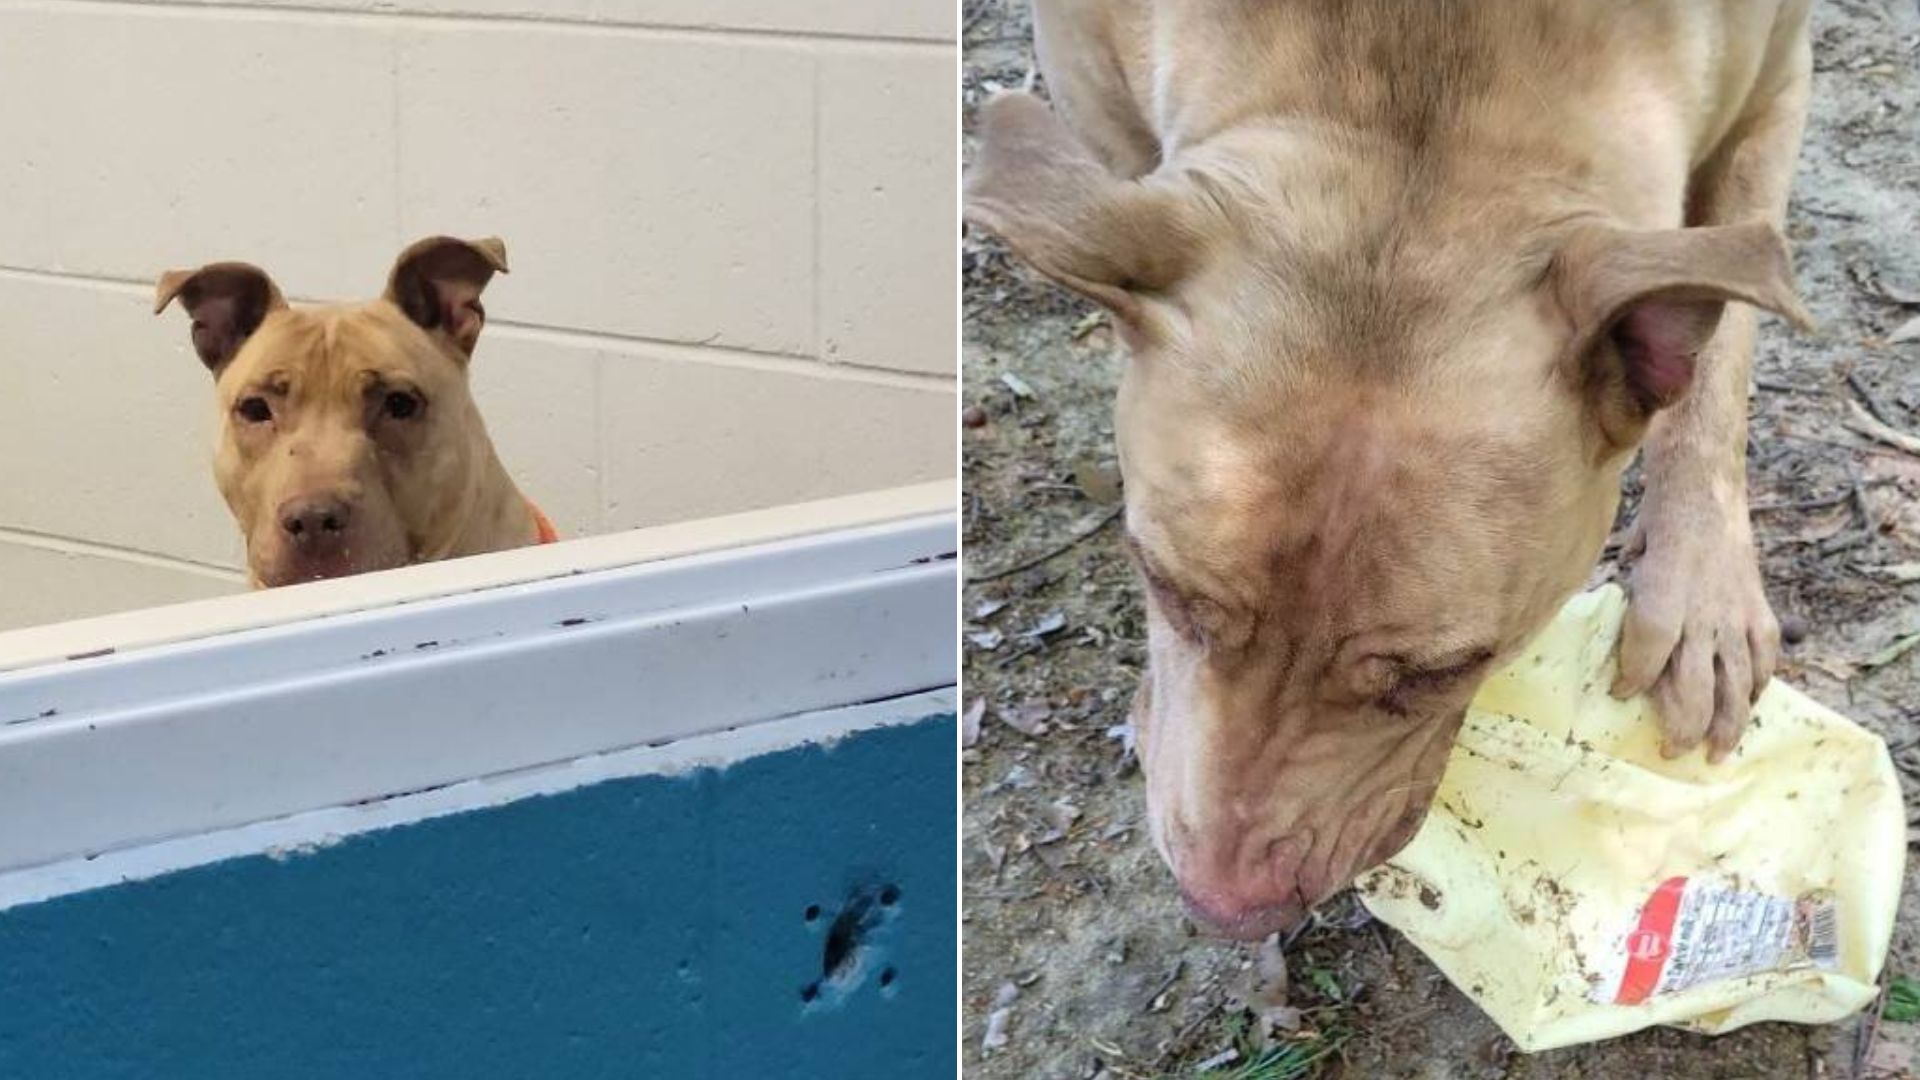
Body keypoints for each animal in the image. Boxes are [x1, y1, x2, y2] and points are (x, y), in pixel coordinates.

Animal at [967, 0, 1820, 933]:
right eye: (1162, 585)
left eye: (1444, 672)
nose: (1222, 908)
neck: (1425, 75)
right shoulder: (1098, 102)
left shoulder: (1771, 94)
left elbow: (1721, 358)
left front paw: (1702, 592)